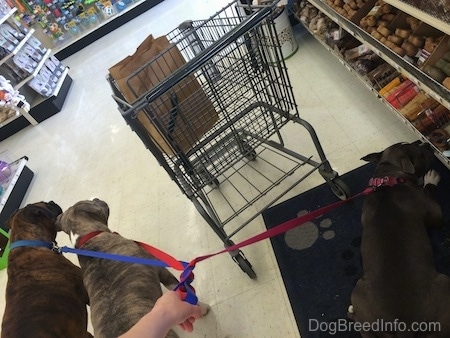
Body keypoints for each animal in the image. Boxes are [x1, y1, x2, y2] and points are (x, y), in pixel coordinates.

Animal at [55, 198, 209, 338]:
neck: (87, 238)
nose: (96, 198)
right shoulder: (159, 268)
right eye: (90, 201)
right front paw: (201, 308)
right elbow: (178, 287)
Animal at [348, 141, 450, 336]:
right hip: (444, 284)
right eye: (421, 152)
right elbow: (429, 191)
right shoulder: (437, 215)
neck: (390, 179)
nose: (425, 143)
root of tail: (405, 327)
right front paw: (430, 179)